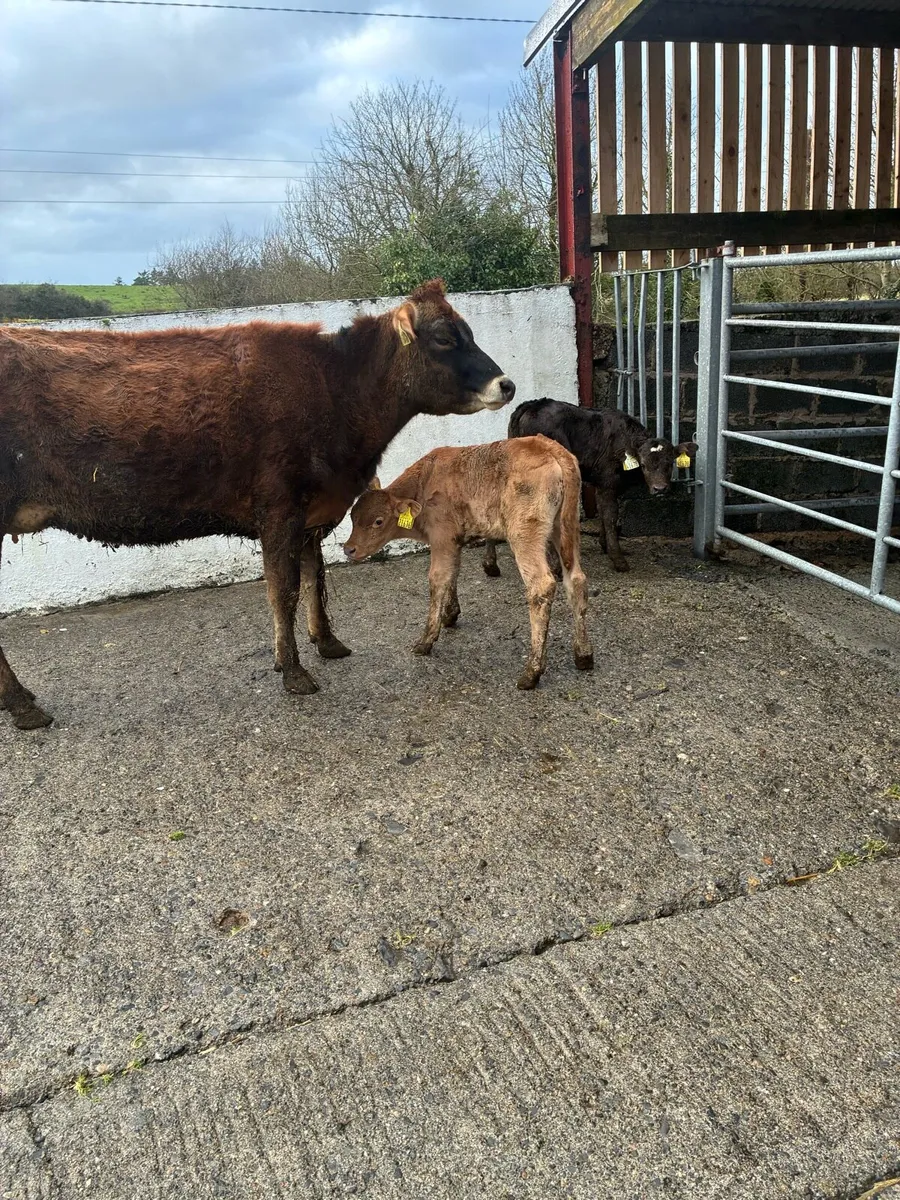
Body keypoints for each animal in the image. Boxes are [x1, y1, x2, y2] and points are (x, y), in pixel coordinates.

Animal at [0, 279, 514, 730]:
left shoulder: (310, 513)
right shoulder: (279, 509)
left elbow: (315, 576)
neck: (334, 389)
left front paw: (327, 642)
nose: (506, 384)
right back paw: (24, 707)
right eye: (444, 337)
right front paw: (293, 670)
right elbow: (282, 589)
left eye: (469, 331)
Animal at [342, 436, 593, 691]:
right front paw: (450, 614)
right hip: (565, 527)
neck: (424, 483)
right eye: (352, 517)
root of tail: (549, 447)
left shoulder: (442, 536)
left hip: (525, 531)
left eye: (378, 521)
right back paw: (583, 655)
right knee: (576, 581)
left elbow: (438, 578)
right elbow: (453, 573)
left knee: (541, 586)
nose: (348, 548)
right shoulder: (454, 540)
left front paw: (426, 639)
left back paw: (532, 672)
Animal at [481, 397, 697, 575]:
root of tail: (529, 406)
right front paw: (618, 560)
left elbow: (603, 512)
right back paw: (555, 566)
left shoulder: (601, 483)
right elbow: (610, 516)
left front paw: (604, 545)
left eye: (669, 464)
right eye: (643, 464)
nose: (660, 489)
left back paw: (491, 565)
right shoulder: (608, 482)